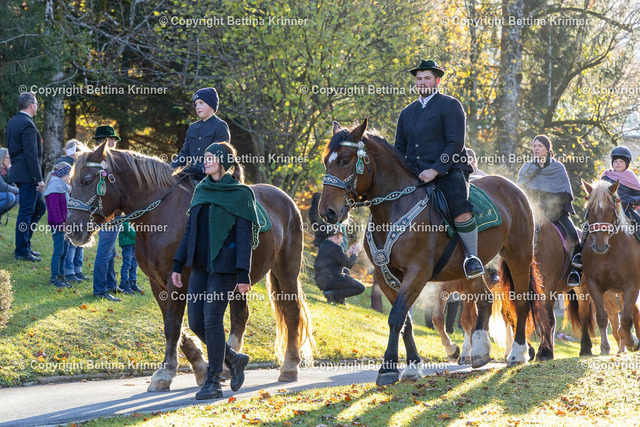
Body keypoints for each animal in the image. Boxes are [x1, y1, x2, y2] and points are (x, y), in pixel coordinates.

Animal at [66, 142, 314, 391]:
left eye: (87, 180)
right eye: (71, 183)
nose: (72, 229)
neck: (160, 215)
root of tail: (286, 200)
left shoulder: (177, 281)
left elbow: (173, 326)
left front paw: (165, 374)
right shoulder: (158, 284)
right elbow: (174, 325)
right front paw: (201, 368)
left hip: (286, 270)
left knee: (291, 312)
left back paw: (289, 366)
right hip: (238, 282)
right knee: (240, 316)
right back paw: (230, 366)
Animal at [319, 119, 548, 385]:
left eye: (345, 160)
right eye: (326, 161)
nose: (327, 212)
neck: (396, 208)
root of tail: (514, 189)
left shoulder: (417, 273)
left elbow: (396, 316)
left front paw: (388, 368)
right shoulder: (385, 276)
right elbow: (406, 321)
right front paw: (412, 366)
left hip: (518, 255)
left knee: (521, 301)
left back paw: (518, 353)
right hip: (471, 269)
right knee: (484, 300)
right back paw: (480, 351)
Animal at [580, 179, 640, 353]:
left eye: (610, 209)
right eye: (589, 210)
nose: (600, 246)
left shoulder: (632, 284)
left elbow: (626, 318)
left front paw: (632, 342)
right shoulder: (594, 285)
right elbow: (602, 317)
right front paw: (605, 347)